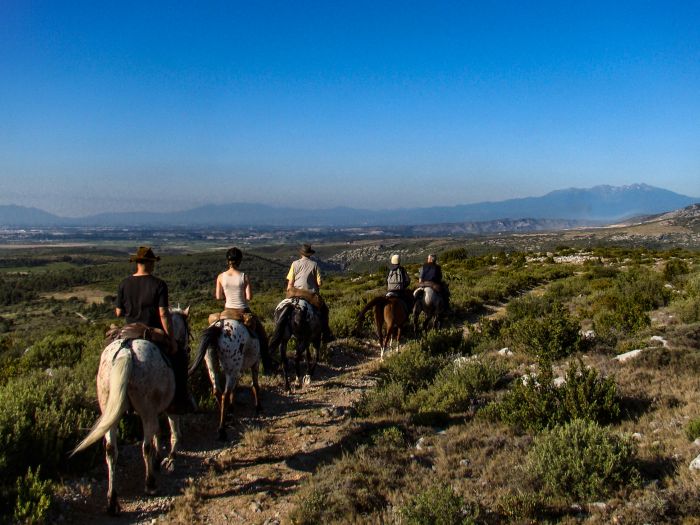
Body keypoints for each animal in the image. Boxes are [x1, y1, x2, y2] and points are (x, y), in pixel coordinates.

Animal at [72, 304, 191, 512]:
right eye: (187, 329)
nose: (187, 348)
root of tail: (127, 351)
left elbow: (157, 432)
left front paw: (159, 459)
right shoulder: (167, 406)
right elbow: (171, 430)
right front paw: (170, 457)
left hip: (109, 407)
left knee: (111, 450)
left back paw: (112, 500)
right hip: (145, 409)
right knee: (145, 446)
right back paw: (150, 484)